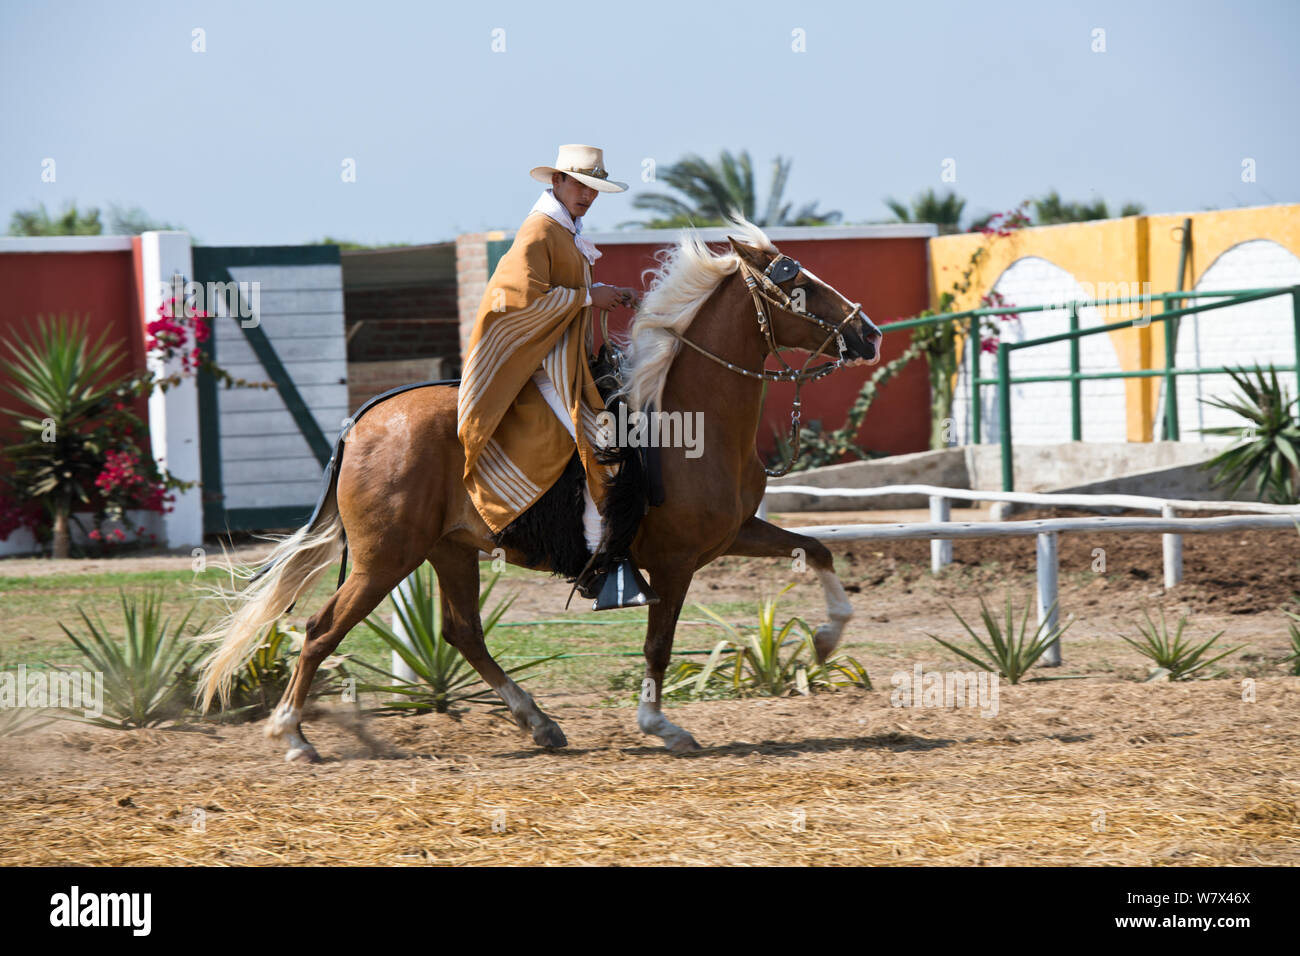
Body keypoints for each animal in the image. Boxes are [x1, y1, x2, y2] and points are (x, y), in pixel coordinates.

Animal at [195, 218, 883, 764]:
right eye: (798, 282)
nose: (869, 333)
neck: (685, 419)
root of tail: (362, 420)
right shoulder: (675, 561)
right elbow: (658, 644)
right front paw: (660, 725)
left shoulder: (734, 533)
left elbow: (816, 550)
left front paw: (828, 638)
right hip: (385, 557)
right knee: (320, 629)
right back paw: (292, 735)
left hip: (448, 550)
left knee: (463, 633)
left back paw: (539, 722)